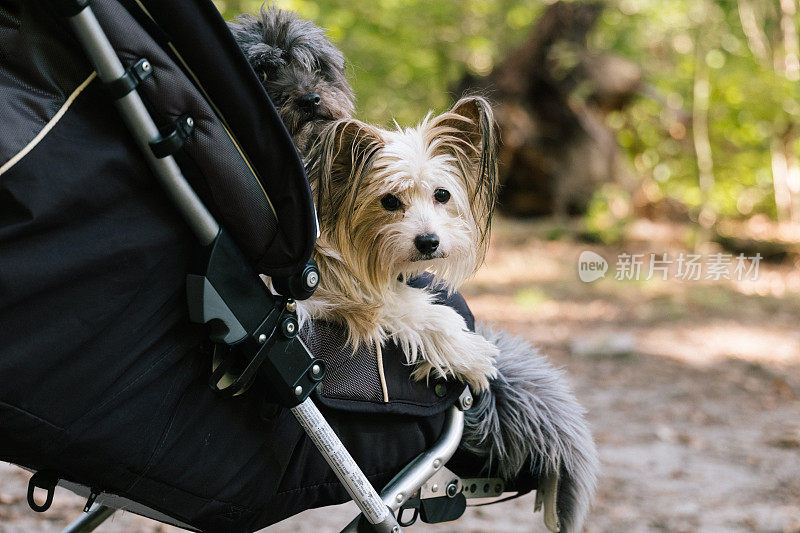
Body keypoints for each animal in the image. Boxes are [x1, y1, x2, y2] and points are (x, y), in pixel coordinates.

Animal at [300, 95, 500, 388]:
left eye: (442, 194)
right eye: (390, 201)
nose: (428, 242)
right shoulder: (324, 289)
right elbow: (402, 304)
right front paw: (468, 354)